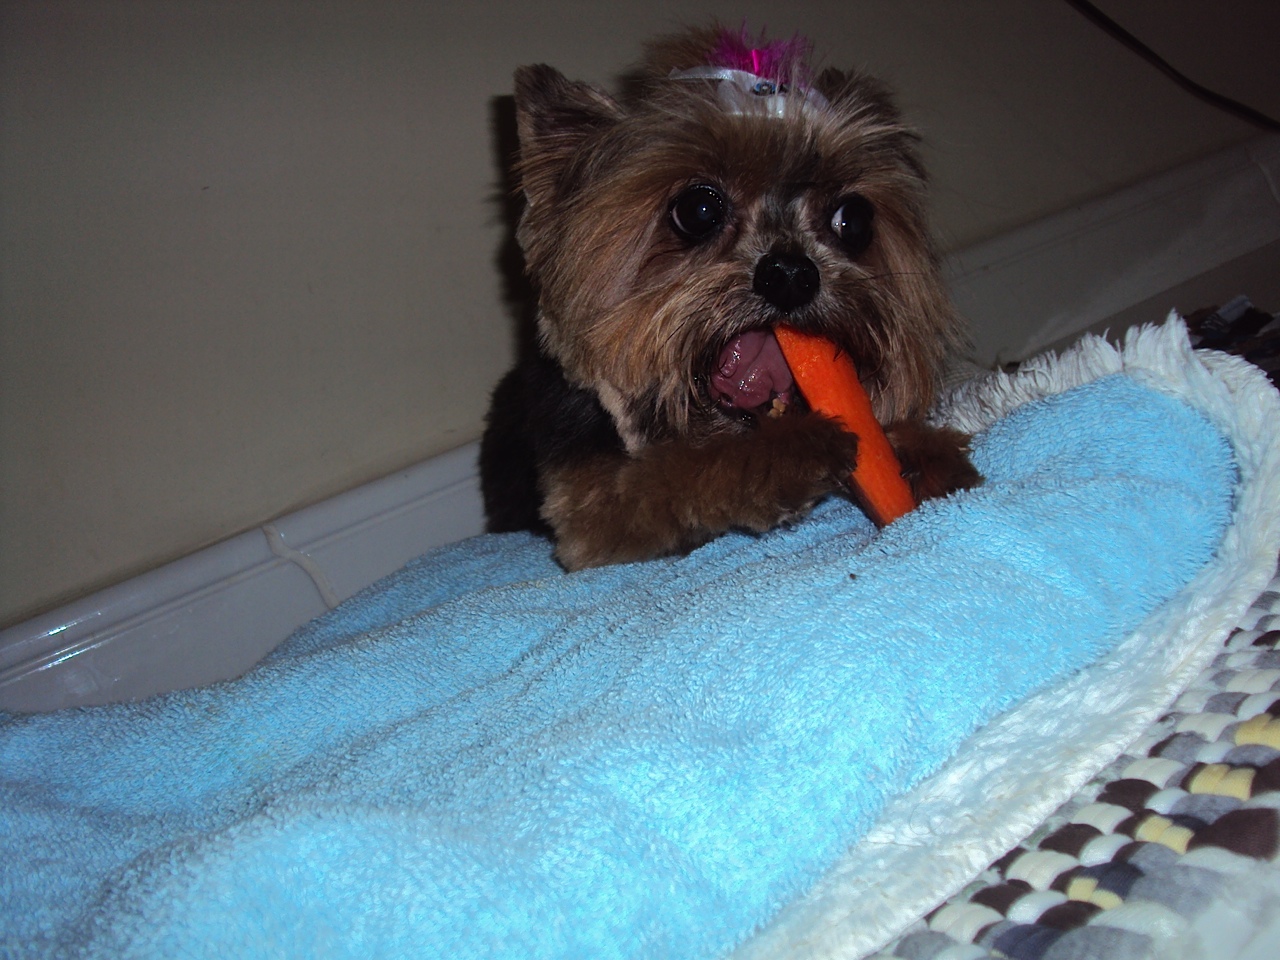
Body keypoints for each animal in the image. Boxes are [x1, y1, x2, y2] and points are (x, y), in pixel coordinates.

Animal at [481, 25, 980, 570]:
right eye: (699, 209)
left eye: (853, 218)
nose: (791, 273)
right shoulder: (590, 509)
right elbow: (679, 471)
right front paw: (788, 452)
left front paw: (920, 451)